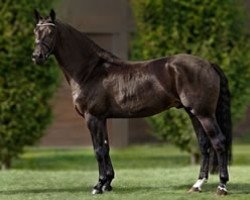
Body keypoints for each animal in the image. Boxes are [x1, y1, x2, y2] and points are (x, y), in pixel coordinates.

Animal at [32, 9, 231, 195]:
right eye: (35, 31)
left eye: (50, 33)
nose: (37, 56)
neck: (91, 71)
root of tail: (209, 64)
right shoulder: (102, 118)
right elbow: (106, 148)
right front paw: (107, 183)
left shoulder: (92, 117)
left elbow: (98, 150)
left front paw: (98, 185)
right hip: (194, 113)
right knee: (204, 145)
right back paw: (197, 185)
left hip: (204, 114)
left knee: (219, 142)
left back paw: (222, 186)